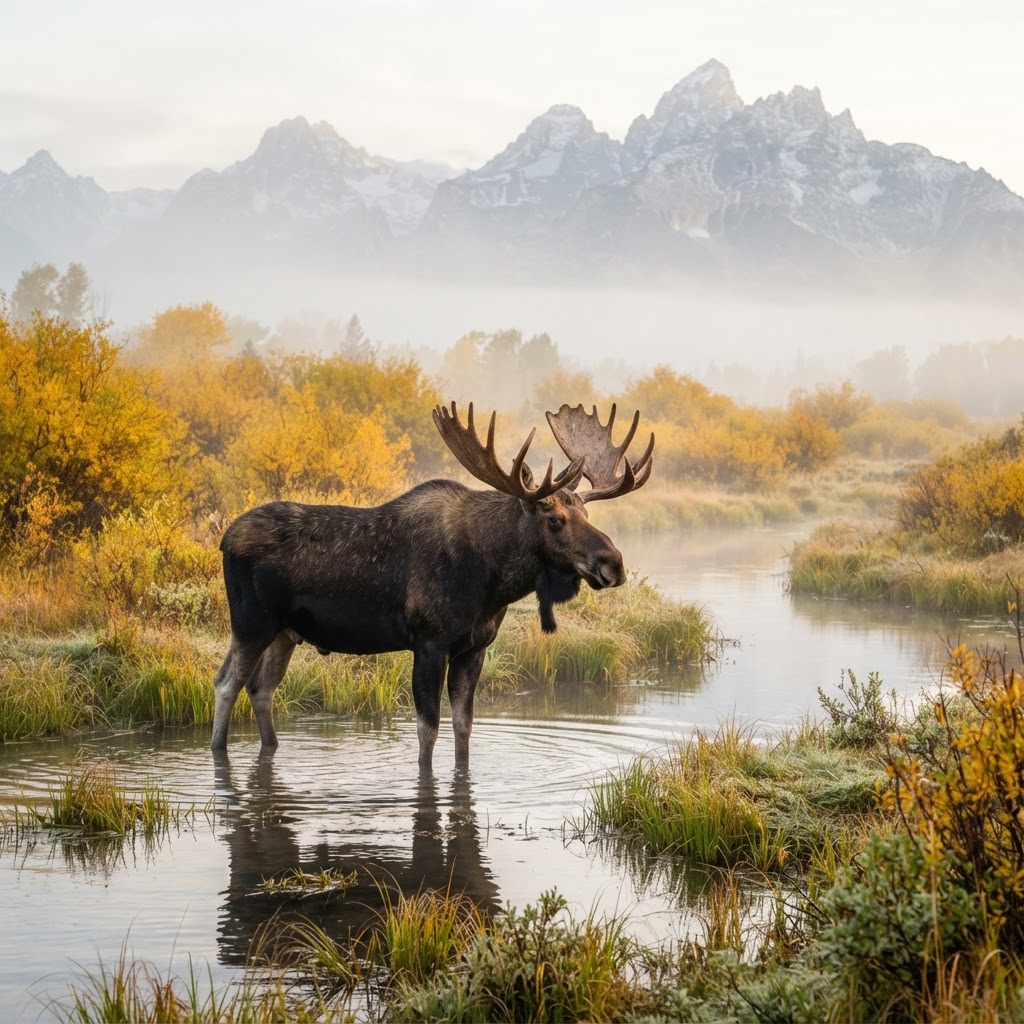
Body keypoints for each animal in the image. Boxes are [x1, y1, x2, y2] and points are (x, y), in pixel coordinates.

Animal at [210, 401, 654, 769]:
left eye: (585, 513)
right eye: (555, 520)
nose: (614, 564)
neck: (492, 584)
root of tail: (224, 539)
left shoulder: (474, 648)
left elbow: (463, 726)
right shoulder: (429, 641)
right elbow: (428, 731)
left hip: (285, 632)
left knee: (261, 689)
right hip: (251, 624)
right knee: (227, 682)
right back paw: (218, 751)